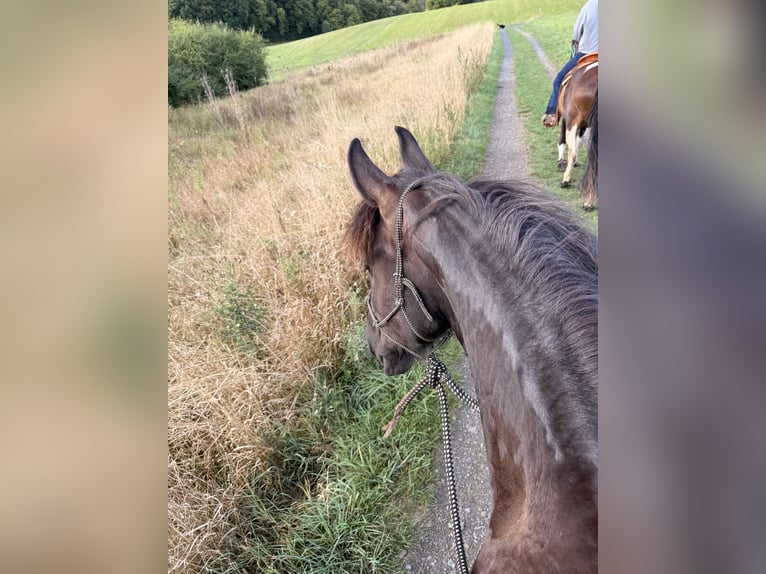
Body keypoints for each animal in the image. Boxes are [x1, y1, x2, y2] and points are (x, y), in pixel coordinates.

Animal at [556, 56, 598, 193]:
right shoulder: (583, 124)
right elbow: (578, 140)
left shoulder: (568, 120)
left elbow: (562, 142)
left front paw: (560, 161)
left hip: (571, 122)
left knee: (572, 152)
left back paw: (565, 180)